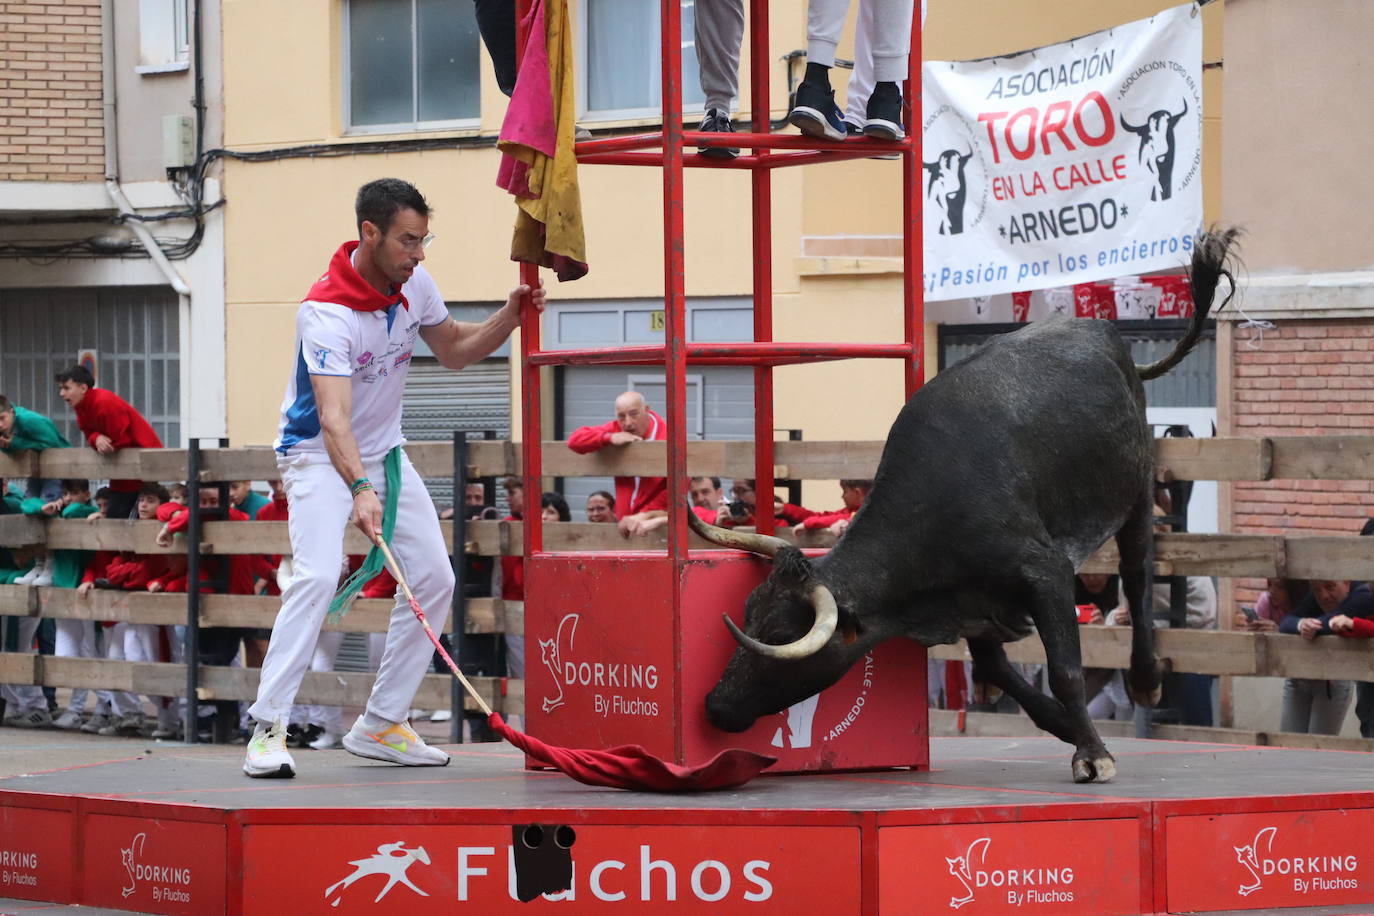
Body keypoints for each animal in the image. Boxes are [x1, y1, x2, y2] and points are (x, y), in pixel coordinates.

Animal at [692, 233, 1242, 785]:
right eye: (748, 613)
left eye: (781, 634)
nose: (716, 706)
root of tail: (1104, 333)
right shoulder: (977, 607)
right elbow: (999, 670)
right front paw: (1067, 727)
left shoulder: (1046, 574)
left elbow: (1065, 670)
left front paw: (1091, 753)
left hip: (1135, 491)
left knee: (1138, 571)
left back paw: (1147, 678)